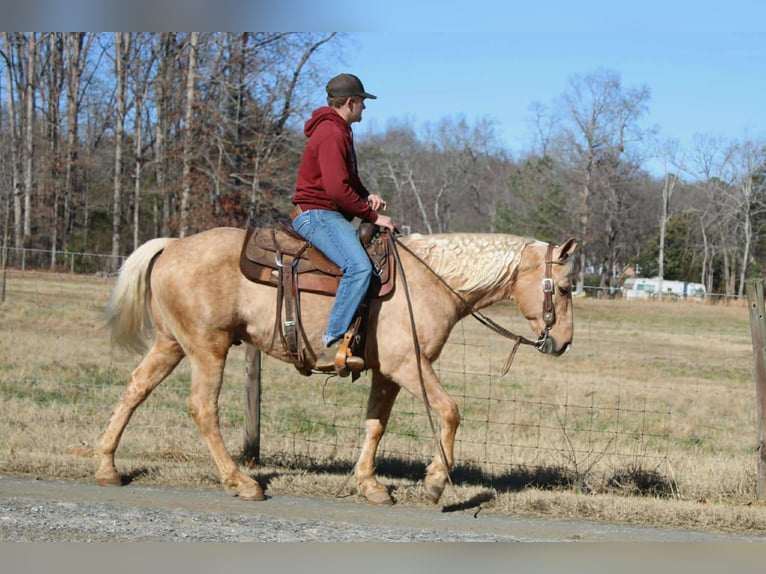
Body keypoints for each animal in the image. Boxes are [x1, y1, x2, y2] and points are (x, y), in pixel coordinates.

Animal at [96, 226, 577, 505]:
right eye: (566, 287)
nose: (564, 343)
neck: (430, 280)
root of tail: (172, 245)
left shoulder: (387, 373)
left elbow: (375, 425)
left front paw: (369, 484)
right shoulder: (410, 365)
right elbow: (449, 411)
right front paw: (437, 482)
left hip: (171, 344)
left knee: (135, 389)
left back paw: (107, 466)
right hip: (207, 347)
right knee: (202, 408)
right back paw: (241, 481)